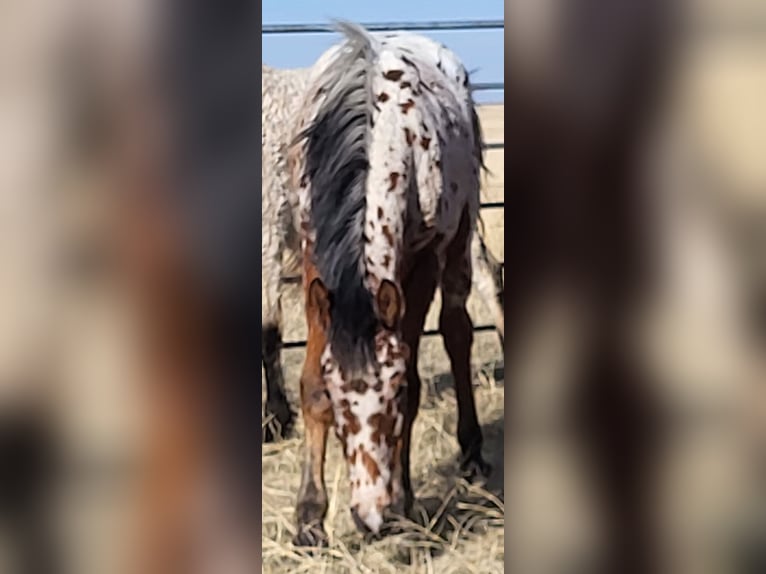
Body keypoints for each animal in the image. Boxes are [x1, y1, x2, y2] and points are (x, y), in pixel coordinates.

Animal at [284, 20, 496, 548]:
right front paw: (309, 517)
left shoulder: (421, 262)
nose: (371, 516)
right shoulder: (315, 258)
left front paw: (404, 499)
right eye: (339, 397)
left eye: (394, 393)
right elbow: (310, 380)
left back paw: (472, 452)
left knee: (458, 330)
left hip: (460, 237)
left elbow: (419, 372)